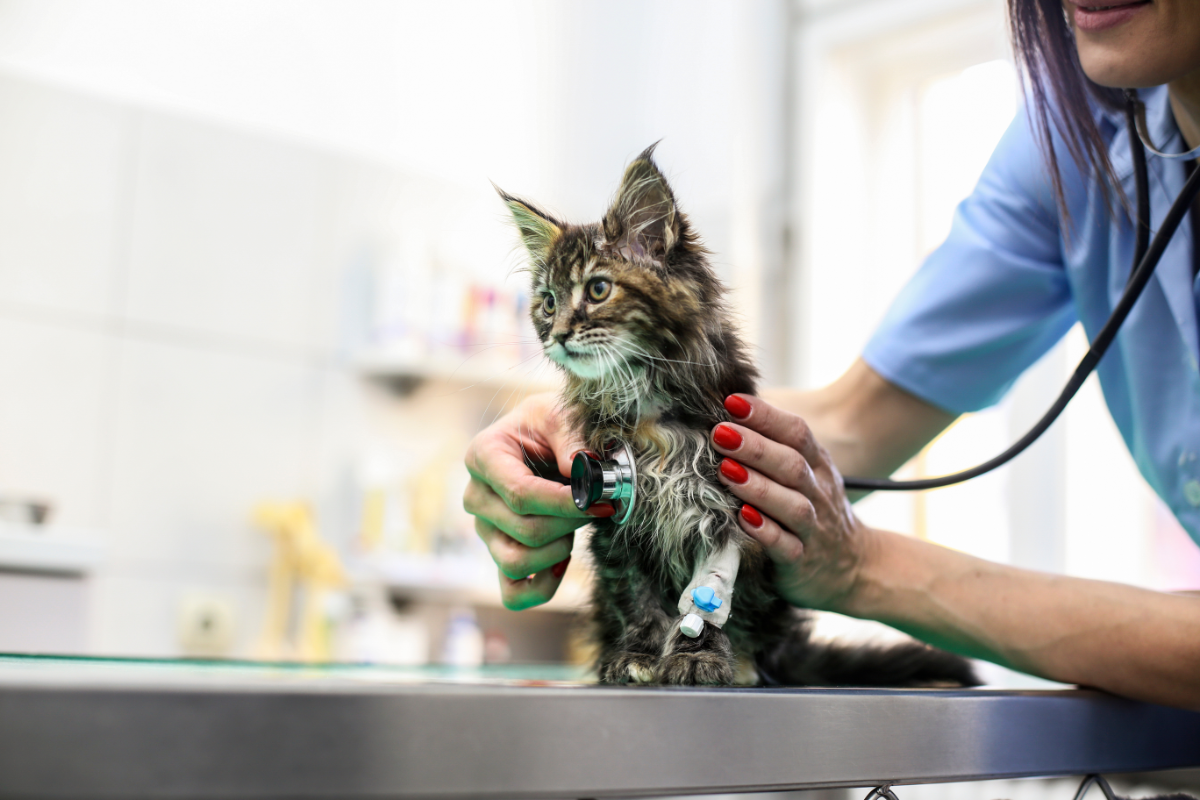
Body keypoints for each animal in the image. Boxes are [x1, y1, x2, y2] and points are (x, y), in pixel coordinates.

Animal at [496, 145, 974, 690]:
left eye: (598, 290)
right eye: (547, 302)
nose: (554, 333)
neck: (647, 405)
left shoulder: (729, 514)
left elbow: (706, 602)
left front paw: (697, 657)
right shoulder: (617, 524)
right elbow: (636, 600)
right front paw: (636, 656)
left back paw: (745, 664)